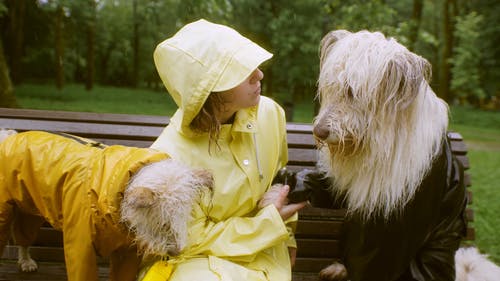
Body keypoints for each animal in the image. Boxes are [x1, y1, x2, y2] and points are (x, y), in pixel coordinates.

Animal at [0, 130, 213, 280]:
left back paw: (26, 261)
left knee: (24, 235)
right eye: (163, 223)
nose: (176, 253)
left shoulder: (126, 250)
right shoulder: (80, 244)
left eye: (184, 219)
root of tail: (9, 136)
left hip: (30, 208)